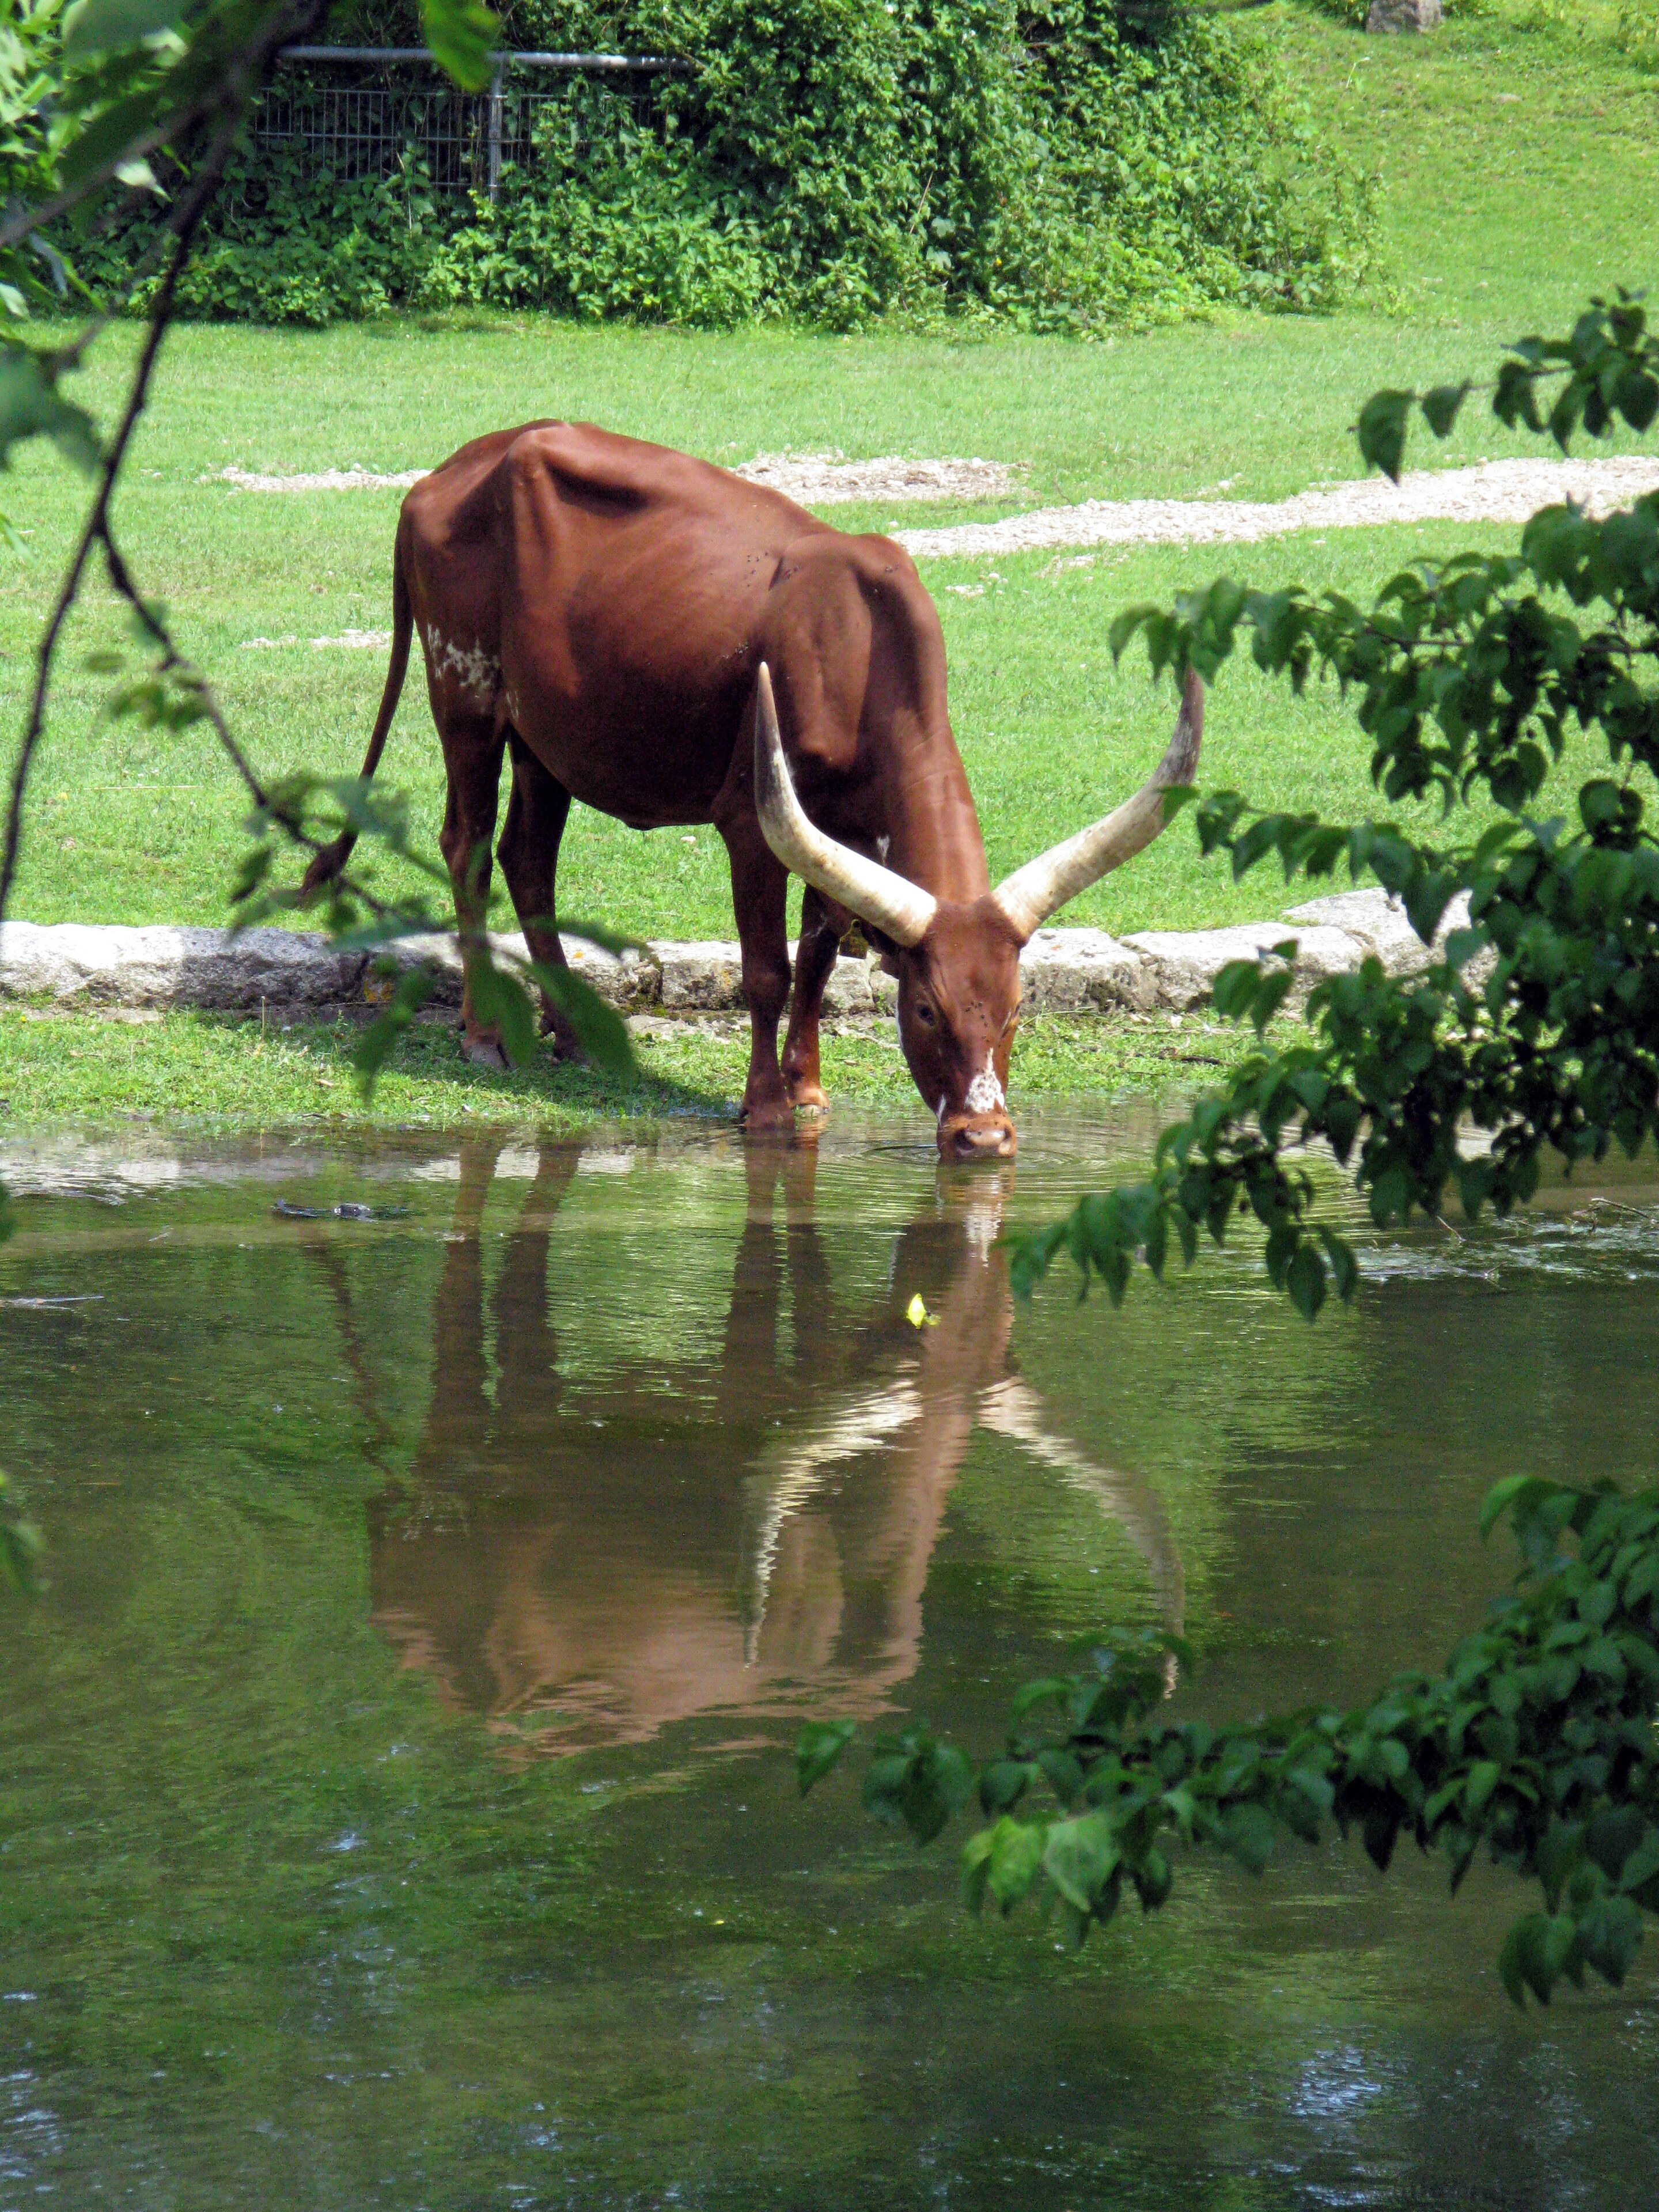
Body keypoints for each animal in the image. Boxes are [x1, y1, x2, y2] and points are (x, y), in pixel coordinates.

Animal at [302, 422, 1203, 1159]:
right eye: (925, 1011)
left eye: (1016, 1009)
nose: (983, 1136)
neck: (859, 651)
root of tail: (444, 475)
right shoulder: (751, 824)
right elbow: (766, 969)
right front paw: (765, 1106)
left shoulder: (841, 835)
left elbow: (817, 959)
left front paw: (807, 1087)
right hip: (465, 696)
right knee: (469, 847)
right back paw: (487, 1034)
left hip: (546, 739)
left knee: (528, 859)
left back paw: (574, 1033)